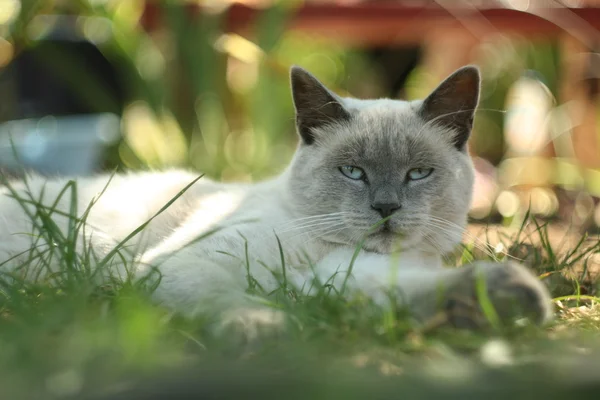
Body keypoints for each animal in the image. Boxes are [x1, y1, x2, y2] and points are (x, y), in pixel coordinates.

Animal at [0, 65, 552, 334]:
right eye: (353, 172)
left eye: (417, 173)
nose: (386, 208)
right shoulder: (184, 264)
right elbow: (225, 296)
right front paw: (262, 326)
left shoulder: (342, 278)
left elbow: (405, 291)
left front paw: (499, 302)